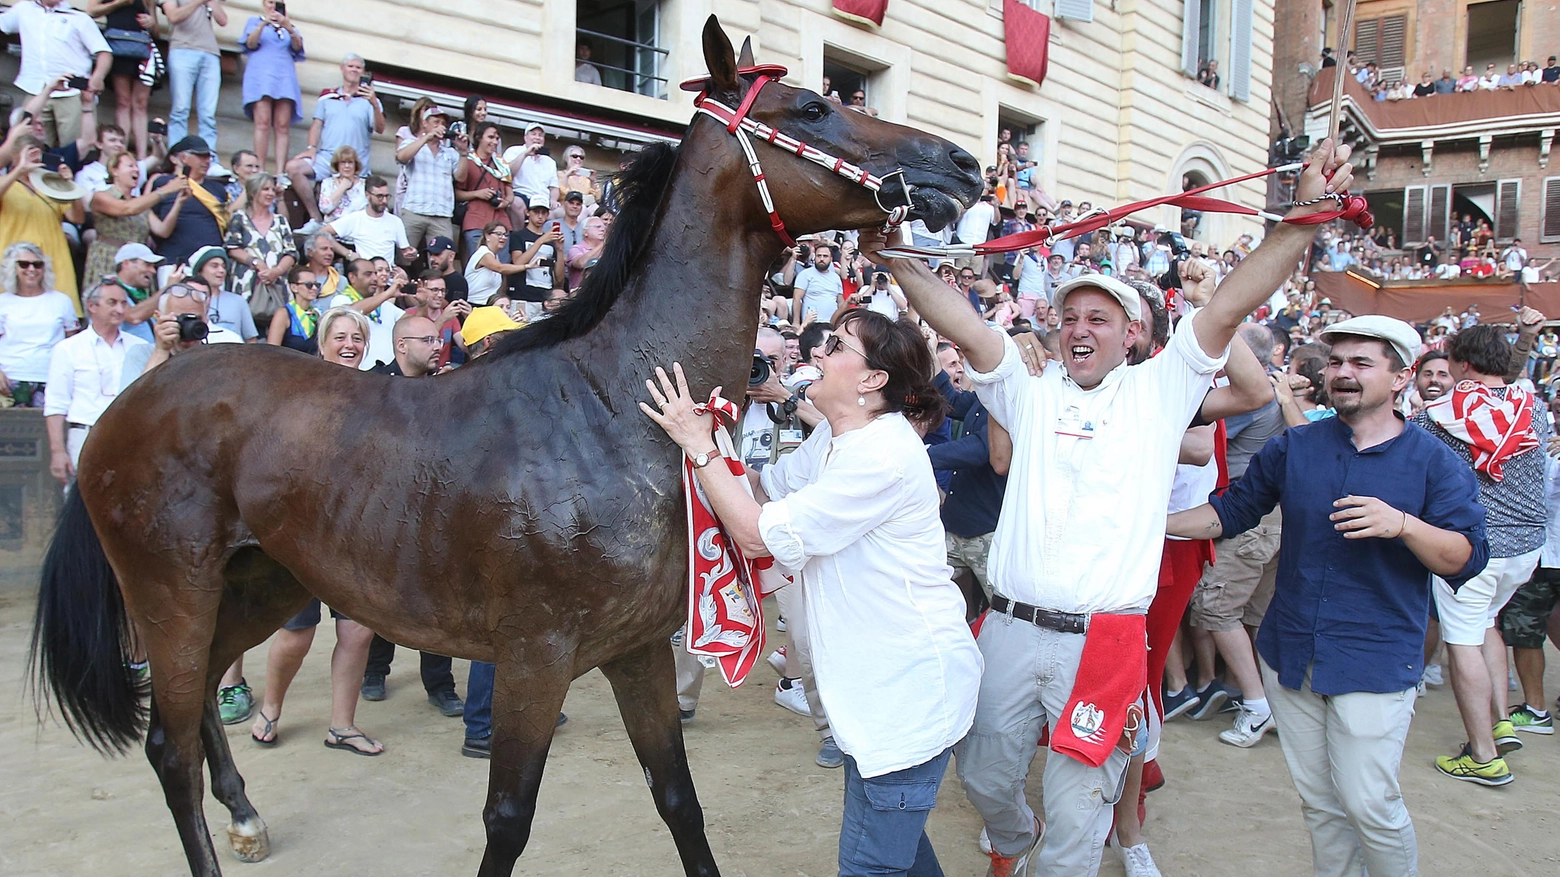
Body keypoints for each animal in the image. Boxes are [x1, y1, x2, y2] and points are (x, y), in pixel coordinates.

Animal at [27, 18, 973, 873]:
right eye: (812, 107)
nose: (958, 165)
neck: (612, 405)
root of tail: (130, 402)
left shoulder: (634, 650)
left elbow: (678, 798)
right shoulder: (534, 658)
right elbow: (509, 819)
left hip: (260, 581)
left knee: (193, 713)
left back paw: (247, 816)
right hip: (173, 591)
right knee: (169, 747)